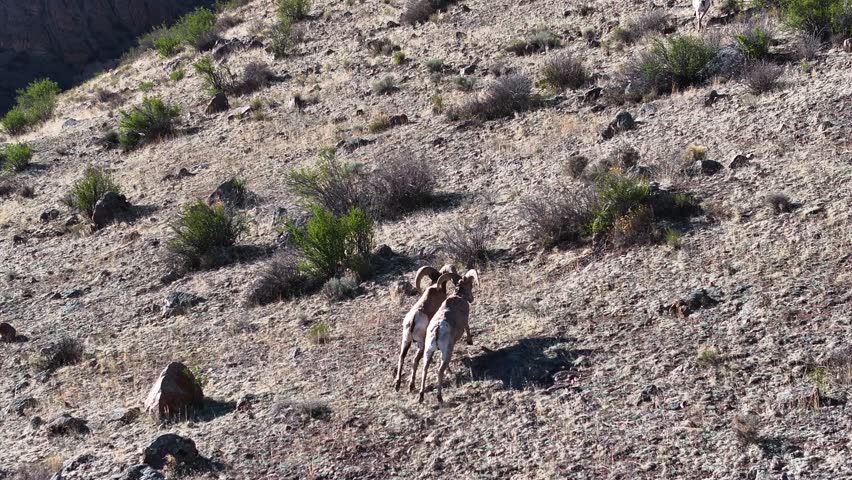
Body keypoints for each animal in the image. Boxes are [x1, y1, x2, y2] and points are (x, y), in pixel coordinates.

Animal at [418, 269, 479, 403]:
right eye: (470, 285)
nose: (472, 299)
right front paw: (470, 342)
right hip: (447, 351)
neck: (458, 297)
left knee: (425, 369)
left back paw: (421, 396)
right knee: (439, 371)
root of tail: (437, 329)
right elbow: (467, 328)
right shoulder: (465, 322)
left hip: (428, 351)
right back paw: (439, 397)